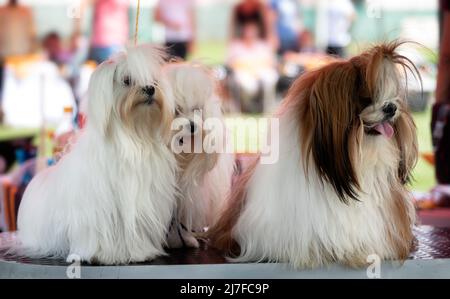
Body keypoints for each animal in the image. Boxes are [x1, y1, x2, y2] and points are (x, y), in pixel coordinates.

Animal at [14, 44, 176, 264]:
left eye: (154, 80)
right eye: (127, 80)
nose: (150, 88)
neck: (132, 138)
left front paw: (140, 252)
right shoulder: (97, 210)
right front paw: (101, 254)